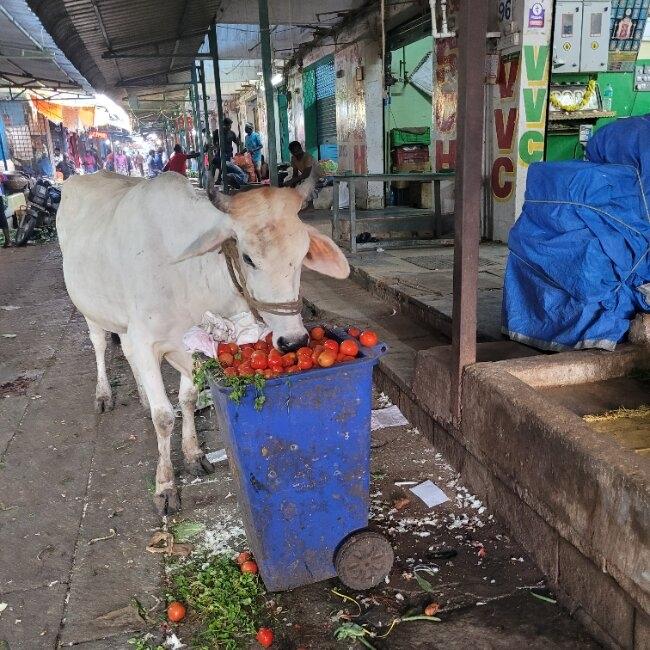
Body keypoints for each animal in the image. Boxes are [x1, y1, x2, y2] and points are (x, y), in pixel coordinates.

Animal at [58, 171, 346, 512]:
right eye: (248, 258)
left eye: (302, 256)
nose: (293, 340)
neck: (187, 274)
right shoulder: (147, 341)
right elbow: (164, 417)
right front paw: (165, 485)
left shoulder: (191, 345)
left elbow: (188, 400)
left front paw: (194, 454)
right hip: (90, 310)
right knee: (100, 344)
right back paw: (104, 394)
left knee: (125, 351)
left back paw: (142, 395)